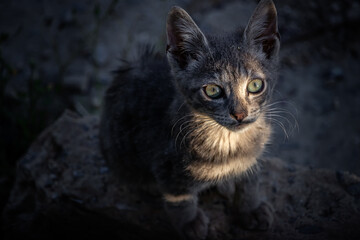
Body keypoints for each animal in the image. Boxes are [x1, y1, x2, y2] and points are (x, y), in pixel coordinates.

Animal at [100, 0, 280, 238]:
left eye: (255, 85)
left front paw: (251, 207)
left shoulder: (254, 154)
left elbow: (250, 179)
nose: (240, 114)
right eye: (213, 90)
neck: (229, 141)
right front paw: (189, 222)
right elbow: (179, 197)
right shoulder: (166, 165)